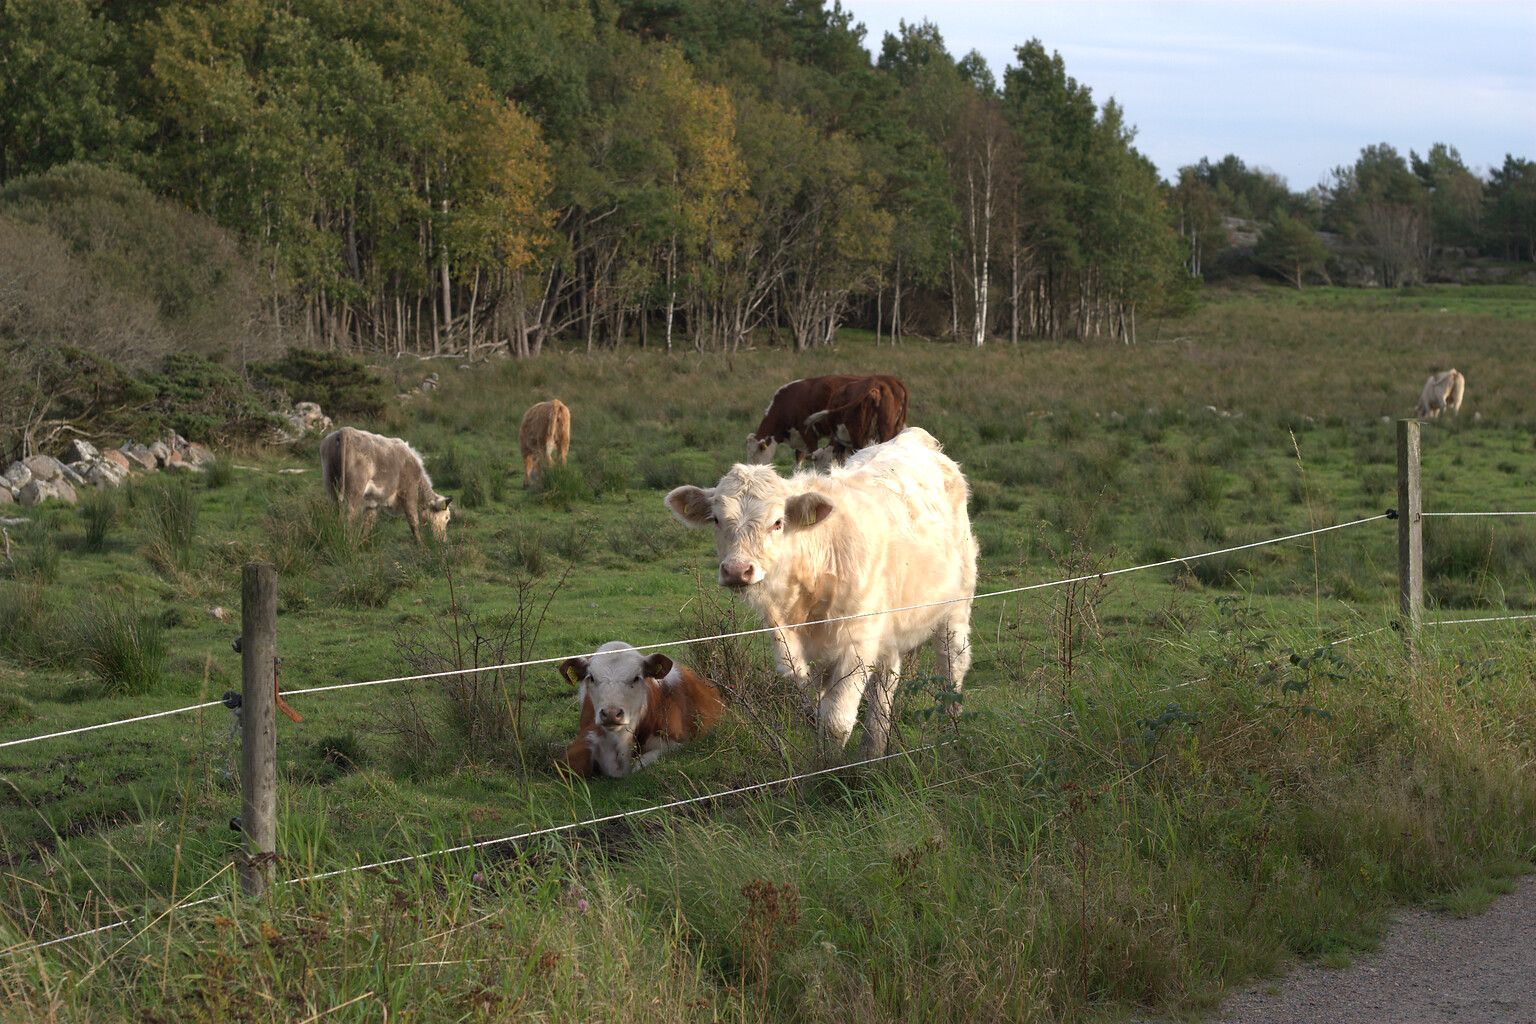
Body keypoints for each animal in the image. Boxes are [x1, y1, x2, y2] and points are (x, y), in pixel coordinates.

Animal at [319, 427, 451, 543]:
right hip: (355, 489)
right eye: (446, 517)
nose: (444, 540)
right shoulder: (409, 493)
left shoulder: (373, 502)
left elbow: (368, 523)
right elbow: (413, 519)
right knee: (350, 515)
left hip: (329, 482)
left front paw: (363, 541)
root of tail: (345, 430)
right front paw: (419, 542)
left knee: (333, 510)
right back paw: (348, 540)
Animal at [558, 641, 725, 777]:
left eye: (636, 678)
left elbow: (642, 763)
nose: (611, 714)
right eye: (591, 677)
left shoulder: (681, 742)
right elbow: (571, 764)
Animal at [666, 427, 976, 756]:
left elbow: (836, 721)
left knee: (953, 664)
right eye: (715, 519)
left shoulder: (856, 644)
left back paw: (950, 734)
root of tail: (911, 436)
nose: (737, 570)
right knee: (887, 679)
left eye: (778, 522)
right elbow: (815, 715)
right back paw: (873, 751)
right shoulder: (805, 654)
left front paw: (830, 769)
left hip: (956, 606)